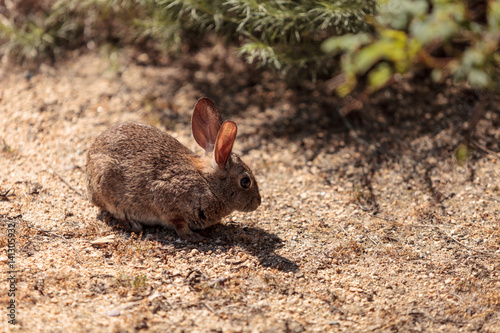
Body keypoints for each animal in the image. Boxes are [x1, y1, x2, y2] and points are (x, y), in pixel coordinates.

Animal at [85, 97, 262, 240]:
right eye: (245, 182)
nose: (258, 202)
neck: (208, 184)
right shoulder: (168, 201)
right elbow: (178, 223)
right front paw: (192, 236)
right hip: (106, 182)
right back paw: (134, 224)